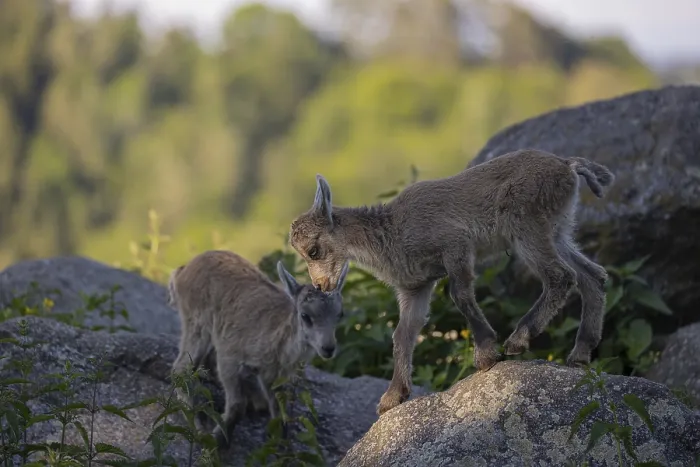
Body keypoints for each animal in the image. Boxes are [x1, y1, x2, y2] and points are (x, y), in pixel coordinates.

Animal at [168, 250, 348, 446]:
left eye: (340, 314)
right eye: (305, 315)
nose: (328, 348)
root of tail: (182, 271)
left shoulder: (271, 376)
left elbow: (279, 410)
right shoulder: (229, 356)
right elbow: (237, 405)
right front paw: (216, 441)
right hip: (196, 325)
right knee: (181, 368)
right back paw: (197, 426)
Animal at [288, 148, 614, 416]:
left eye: (313, 250)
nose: (321, 286)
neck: (391, 233)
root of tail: (568, 166)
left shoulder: (455, 246)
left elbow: (460, 295)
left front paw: (486, 354)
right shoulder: (416, 286)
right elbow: (403, 333)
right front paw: (392, 397)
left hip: (526, 225)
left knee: (561, 276)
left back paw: (518, 339)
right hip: (558, 229)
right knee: (592, 275)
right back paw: (580, 353)